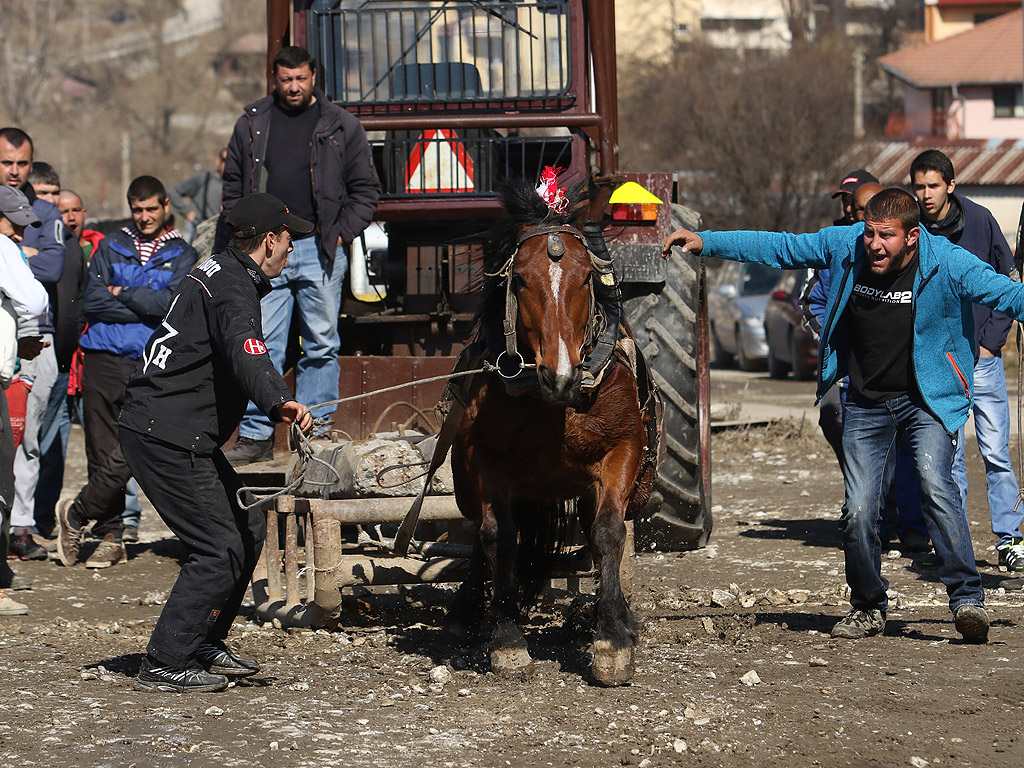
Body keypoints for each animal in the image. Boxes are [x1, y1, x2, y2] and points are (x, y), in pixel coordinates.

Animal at [448, 179, 655, 684]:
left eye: (585, 278)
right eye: (520, 279)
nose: (559, 375)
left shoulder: (623, 449)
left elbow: (608, 533)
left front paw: (613, 638)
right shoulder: (484, 460)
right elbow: (497, 535)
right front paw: (506, 638)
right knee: (480, 535)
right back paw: (466, 611)